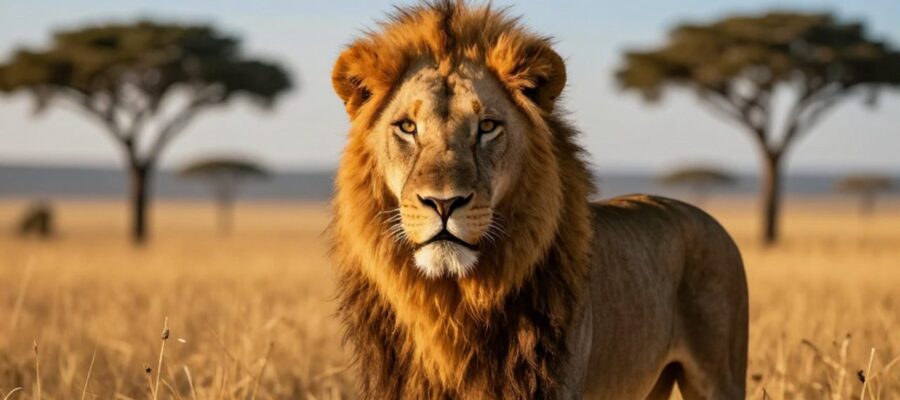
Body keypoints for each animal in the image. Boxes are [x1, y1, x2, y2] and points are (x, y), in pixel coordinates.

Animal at [329, 2, 748, 399]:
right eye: (407, 127)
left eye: (487, 127)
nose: (444, 203)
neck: (452, 305)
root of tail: (703, 215)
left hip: (720, 376)